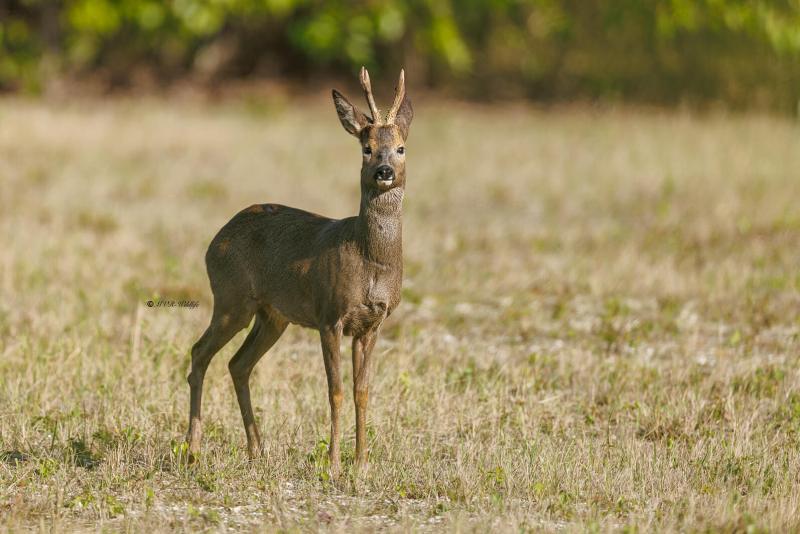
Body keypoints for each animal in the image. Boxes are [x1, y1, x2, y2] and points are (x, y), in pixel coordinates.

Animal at [185, 68, 413, 475]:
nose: (384, 171)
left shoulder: (372, 324)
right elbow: (335, 390)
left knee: (238, 364)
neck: (369, 263)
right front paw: (334, 463)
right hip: (231, 298)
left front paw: (362, 462)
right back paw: (192, 451)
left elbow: (362, 391)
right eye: (366, 148)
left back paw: (257, 449)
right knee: (199, 354)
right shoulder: (329, 315)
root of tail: (214, 241)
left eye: (401, 147)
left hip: (272, 315)